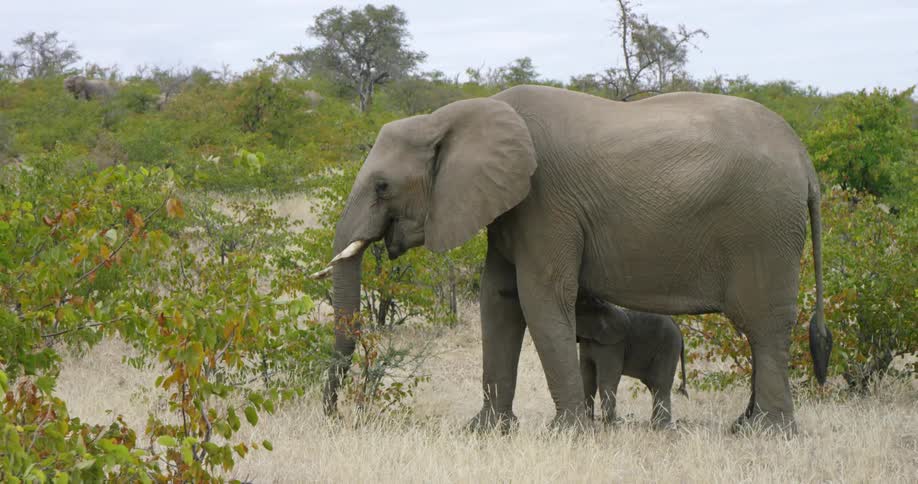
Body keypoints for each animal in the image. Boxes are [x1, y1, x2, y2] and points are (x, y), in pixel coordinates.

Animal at [576, 293, 687, 427]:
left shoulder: (612, 345)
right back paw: (654, 425)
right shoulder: (587, 342)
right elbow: (587, 380)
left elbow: (607, 380)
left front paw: (610, 426)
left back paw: (661, 427)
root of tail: (678, 329)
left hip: (668, 346)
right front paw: (588, 423)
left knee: (660, 384)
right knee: (653, 384)